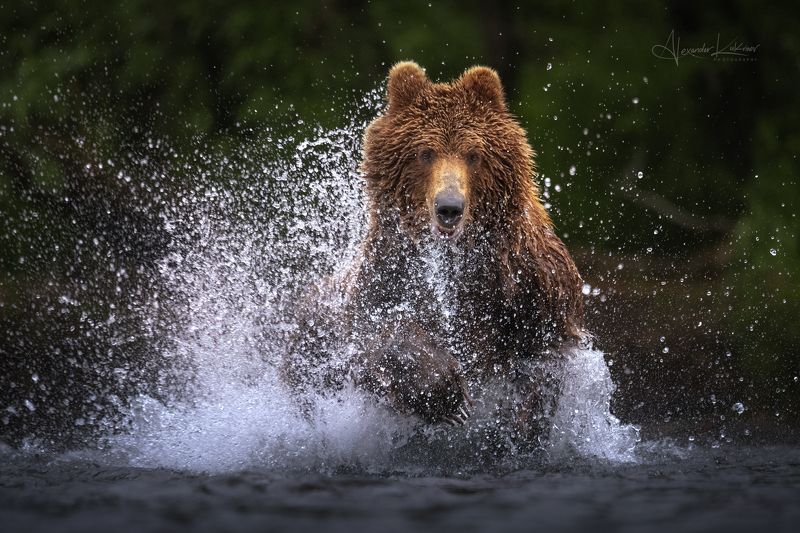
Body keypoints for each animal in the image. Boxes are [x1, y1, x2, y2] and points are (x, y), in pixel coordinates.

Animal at [282, 61, 584, 442]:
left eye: (473, 154)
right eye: (425, 153)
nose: (449, 207)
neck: (457, 257)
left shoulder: (528, 283)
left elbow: (546, 353)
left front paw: (522, 420)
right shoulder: (387, 279)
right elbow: (380, 338)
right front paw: (449, 396)